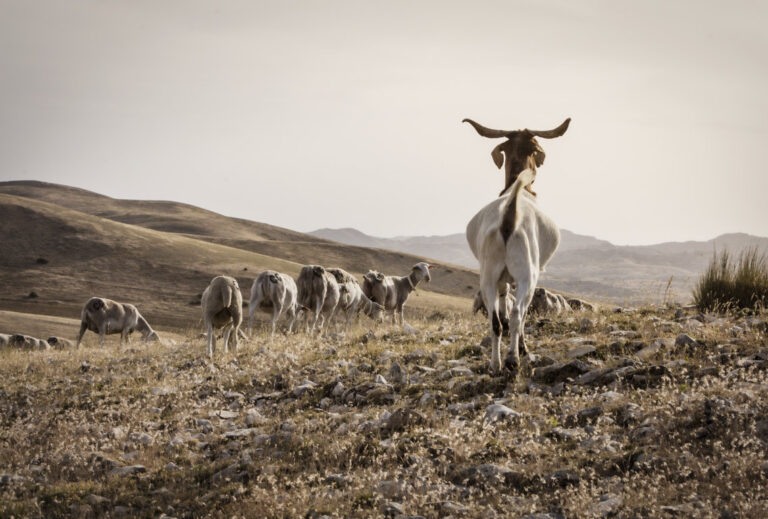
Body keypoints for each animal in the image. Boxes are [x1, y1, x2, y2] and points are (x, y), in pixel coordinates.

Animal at [464, 116, 570, 373]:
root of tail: (509, 215)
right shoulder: (531, 276)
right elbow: (519, 316)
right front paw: (522, 348)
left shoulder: (501, 279)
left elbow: (501, 310)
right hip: (527, 274)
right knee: (516, 315)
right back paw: (513, 358)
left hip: (488, 275)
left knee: (496, 321)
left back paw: (495, 364)